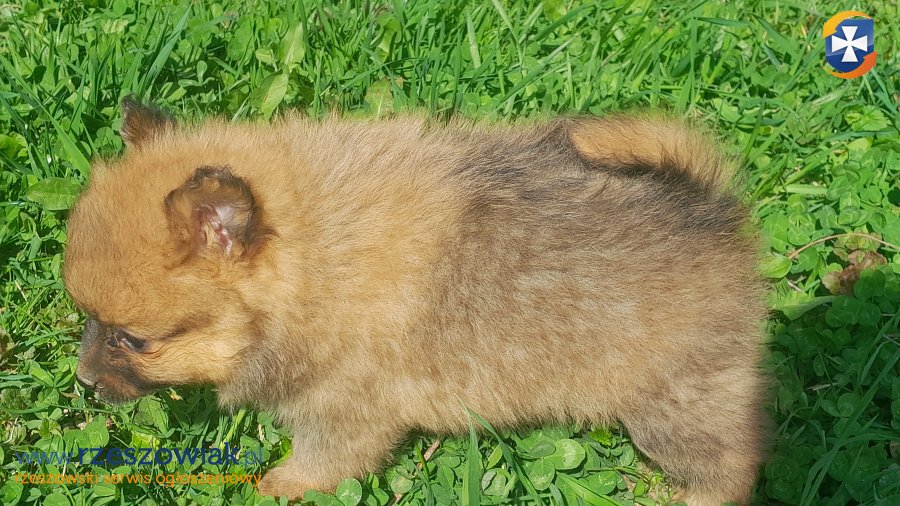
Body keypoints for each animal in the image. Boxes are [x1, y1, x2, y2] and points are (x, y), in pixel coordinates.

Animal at [64, 98, 769, 505]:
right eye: (89, 320)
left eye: (134, 340)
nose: (83, 379)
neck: (318, 256)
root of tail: (710, 210)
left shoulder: (345, 410)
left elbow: (322, 458)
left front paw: (279, 487)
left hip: (672, 403)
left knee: (731, 464)